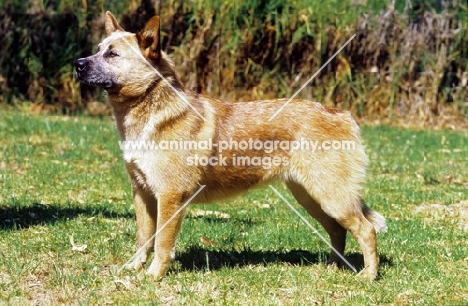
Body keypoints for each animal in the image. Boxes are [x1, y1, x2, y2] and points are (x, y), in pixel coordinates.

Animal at [74, 11, 388, 280]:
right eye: (98, 48)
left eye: (112, 54)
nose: (77, 64)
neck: (149, 110)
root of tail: (342, 114)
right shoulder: (142, 193)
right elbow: (143, 237)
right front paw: (134, 268)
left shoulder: (170, 196)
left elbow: (162, 242)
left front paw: (154, 276)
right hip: (311, 197)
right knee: (338, 231)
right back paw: (333, 267)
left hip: (332, 198)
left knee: (366, 230)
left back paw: (368, 275)